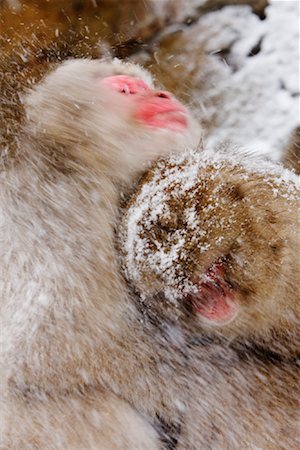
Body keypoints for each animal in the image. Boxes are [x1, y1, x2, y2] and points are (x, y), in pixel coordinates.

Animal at [0, 58, 202, 448]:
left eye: (146, 87)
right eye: (125, 90)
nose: (163, 95)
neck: (72, 159)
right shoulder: (63, 209)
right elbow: (52, 349)